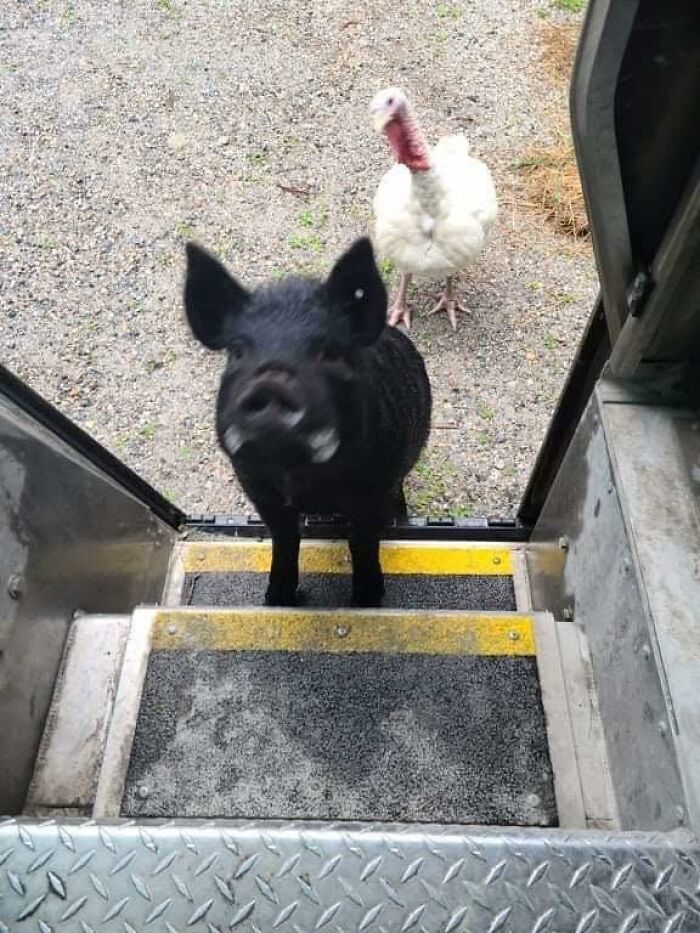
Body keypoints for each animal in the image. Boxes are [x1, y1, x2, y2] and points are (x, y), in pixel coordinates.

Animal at [184, 237, 431, 607]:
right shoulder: (257, 489)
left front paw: (367, 601)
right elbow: (284, 539)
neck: (306, 487)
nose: (270, 384)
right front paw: (276, 600)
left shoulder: (374, 490)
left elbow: (362, 542)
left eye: (330, 352)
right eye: (237, 351)